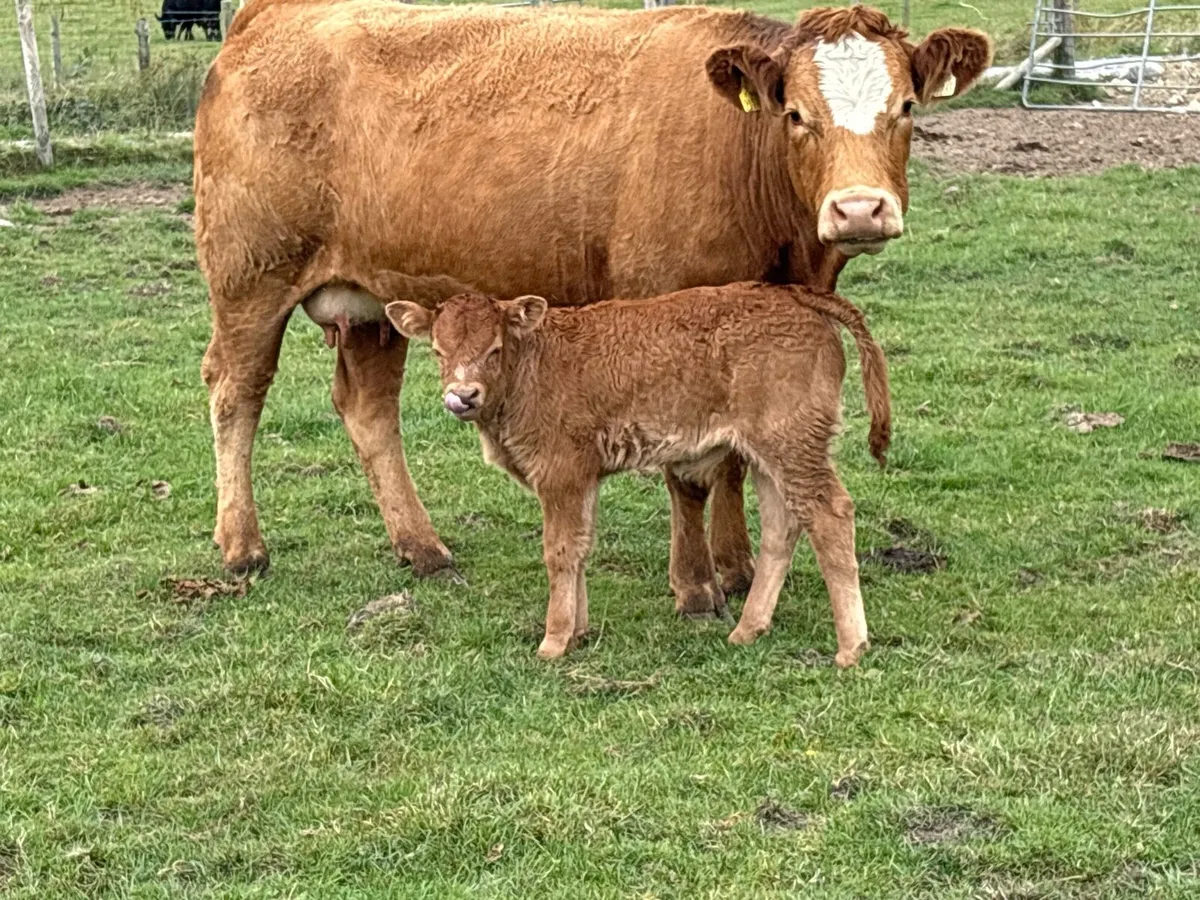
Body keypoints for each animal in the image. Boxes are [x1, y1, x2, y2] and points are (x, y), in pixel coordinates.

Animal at [194, 1, 987, 618]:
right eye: (796, 114)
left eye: (906, 108)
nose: (859, 209)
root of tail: (269, 15)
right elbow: (691, 471)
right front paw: (696, 587)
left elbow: (733, 454)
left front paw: (737, 567)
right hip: (249, 278)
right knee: (235, 393)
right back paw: (242, 546)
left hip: (372, 302)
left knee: (369, 412)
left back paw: (422, 548)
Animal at [384, 283, 890, 663]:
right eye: (437, 351)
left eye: (494, 349)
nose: (462, 395)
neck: (534, 364)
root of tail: (796, 298)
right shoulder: (583, 477)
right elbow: (582, 546)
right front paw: (578, 632)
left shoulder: (560, 473)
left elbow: (560, 551)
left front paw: (553, 641)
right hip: (770, 453)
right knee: (782, 525)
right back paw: (748, 628)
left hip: (793, 445)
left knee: (830, 513)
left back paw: (851, 647)